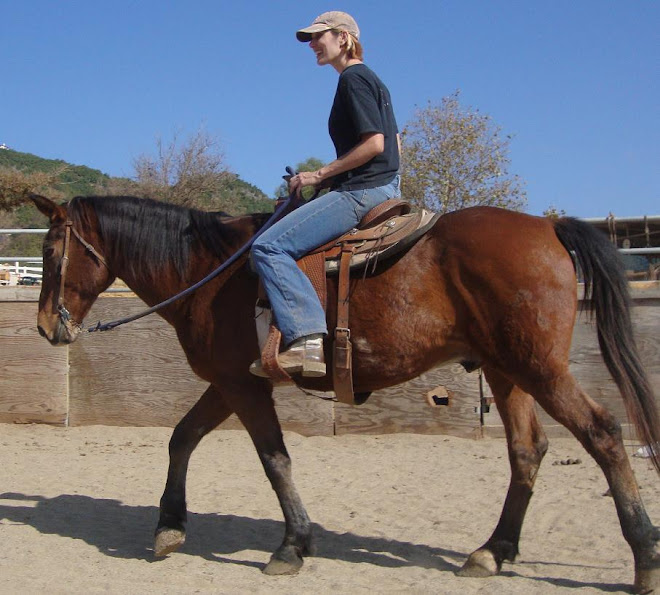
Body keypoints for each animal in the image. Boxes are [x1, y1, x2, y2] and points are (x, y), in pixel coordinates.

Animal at [28, 193, 656, 592]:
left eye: (51, 252)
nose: (43, 327)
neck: (209, 270)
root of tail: (546, 227)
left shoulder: (243, 386)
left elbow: (274, 459)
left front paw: (293, 544)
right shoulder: (230, 383)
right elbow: (181, 439)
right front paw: (169, 526)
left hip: (539, 369)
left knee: (603, 434)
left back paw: (644, 558)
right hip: (508, 372)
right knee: (527, 451)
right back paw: (493, 551)